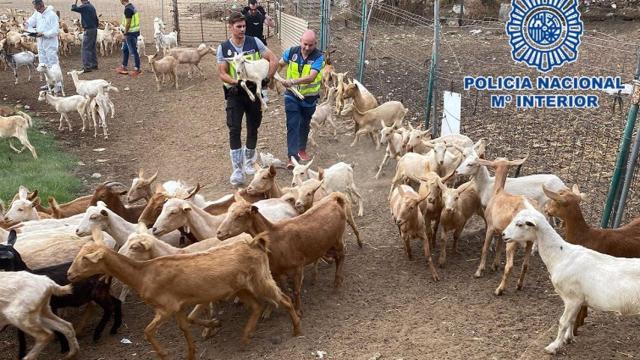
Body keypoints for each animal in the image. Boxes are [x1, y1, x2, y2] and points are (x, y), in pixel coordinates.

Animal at [67, 229, 302, 358]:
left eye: (86, 260)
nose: (69, 274)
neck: (143, 274)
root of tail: (255, 243)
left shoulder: (165, 308)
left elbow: (148, 331)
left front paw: (163, 354)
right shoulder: (178, 307)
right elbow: (185, 328)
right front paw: (193, 351)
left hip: (261, 279)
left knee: (284, 299)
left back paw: (297, 329)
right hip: (241, 287)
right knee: (256, 306)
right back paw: (245, 338)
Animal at [218, 193, 362, 314]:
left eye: (240, 215)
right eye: (228, 212)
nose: (219, 233)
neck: (274, 237)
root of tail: (335, 199)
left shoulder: (297, 267)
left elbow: (296, 291)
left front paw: (298, 310)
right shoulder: (277, 272)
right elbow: (286, 291)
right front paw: (290, 305)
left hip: (337, 239)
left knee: (342, 255)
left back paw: (337, 283)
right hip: (327, 244)